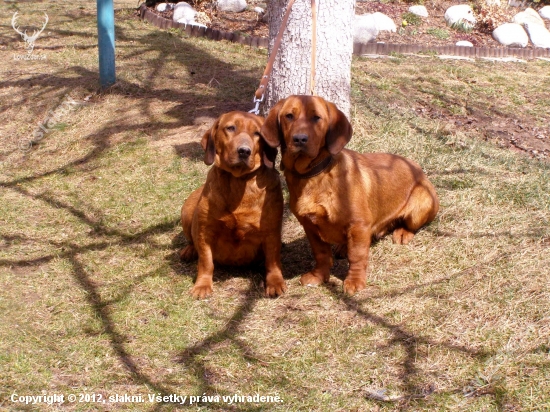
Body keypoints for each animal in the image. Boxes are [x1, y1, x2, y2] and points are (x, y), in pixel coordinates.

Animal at [180, 112, 286, 300]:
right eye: (230, 128)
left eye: (257, 133)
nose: (244, 151)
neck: (238, 180)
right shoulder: (205, 231)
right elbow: (206, 261)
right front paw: (202, 285)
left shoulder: (271, 232)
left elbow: (273, 261)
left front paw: (275, 282)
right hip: (186, 211)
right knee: (192, 239)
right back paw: (189, 250)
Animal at [260, 95, 442, 294]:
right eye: (289, 116)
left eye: (316, 118)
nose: (300, 139)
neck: (313, 176)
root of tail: (420, 170)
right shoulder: (310, 227)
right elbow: (321, 254)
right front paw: (319, 276)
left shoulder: (359, 225)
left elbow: (357, 256)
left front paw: (355, 281)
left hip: (419, 207)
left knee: (409, 225)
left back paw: (403, 233)